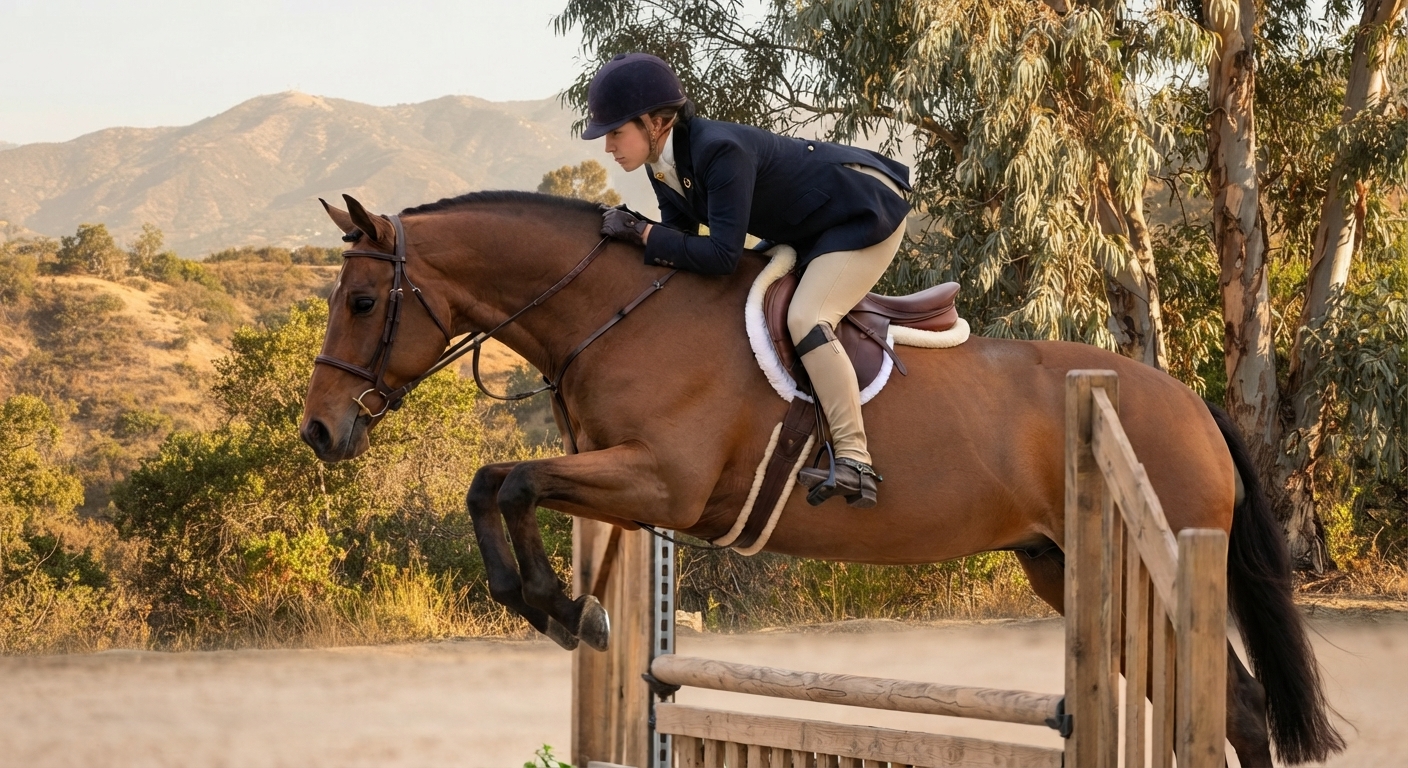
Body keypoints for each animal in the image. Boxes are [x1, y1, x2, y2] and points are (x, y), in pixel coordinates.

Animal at [299, 191, 1343, 766]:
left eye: (363, 302)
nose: (318, 432)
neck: (621, 312)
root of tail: (1190, 404)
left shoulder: (659, 485)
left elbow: (504, 482)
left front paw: (559, 606)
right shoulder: (617, 478)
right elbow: (498, 483)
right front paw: (568, 608)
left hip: (1145, 556)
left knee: (1235, 705)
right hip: (1065, 569)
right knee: (1242, 710)